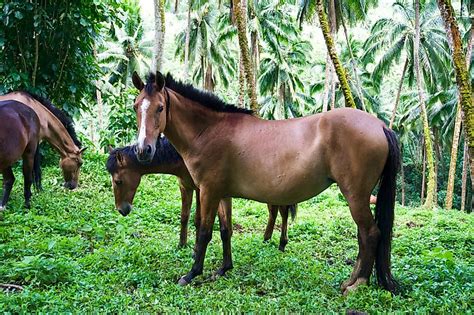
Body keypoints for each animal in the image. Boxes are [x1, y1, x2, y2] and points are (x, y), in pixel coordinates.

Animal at [106, 138, 296, 252]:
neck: (181, 155)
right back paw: (266, 238)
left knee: (283, 212)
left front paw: (197, 246)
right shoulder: (185, 186)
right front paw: (182, 244)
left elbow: (198, 219)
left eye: (118, 181)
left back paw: (281, 243)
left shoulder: (201, 189)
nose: (122, 210)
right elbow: (184, 216)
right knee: (274, 211)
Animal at [131, 73, 400, 296]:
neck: (209, 131)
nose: (144, 150)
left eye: (160, 108)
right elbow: (225, 230)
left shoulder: (208, 191)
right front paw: (223, 269)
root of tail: (380, 126)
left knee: (370, 234)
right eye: (136, 106)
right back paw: (351, 281)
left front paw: (191, 274)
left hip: (355, 196)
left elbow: (204, 233)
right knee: (364, 235)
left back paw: (357, 285)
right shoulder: (222, 193)